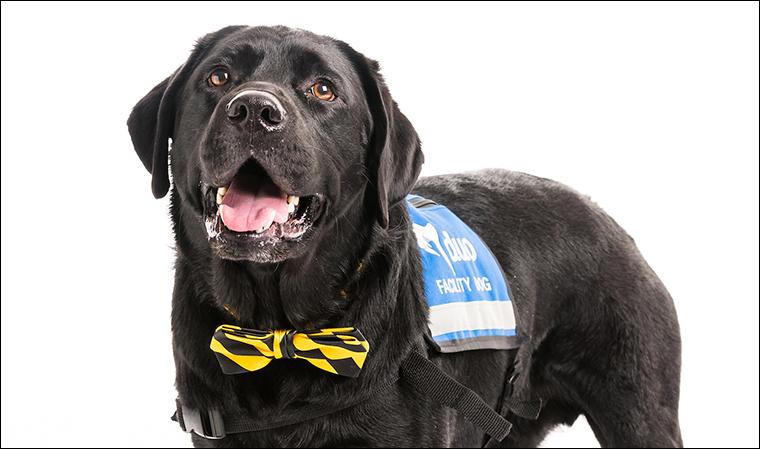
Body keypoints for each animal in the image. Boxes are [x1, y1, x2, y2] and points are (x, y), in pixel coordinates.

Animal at [127, 26, 684, 446]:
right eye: (218, 77)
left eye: (323, 89)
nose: (254, 111)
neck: (280, 332)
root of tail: (611, 221)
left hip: (641, 415)